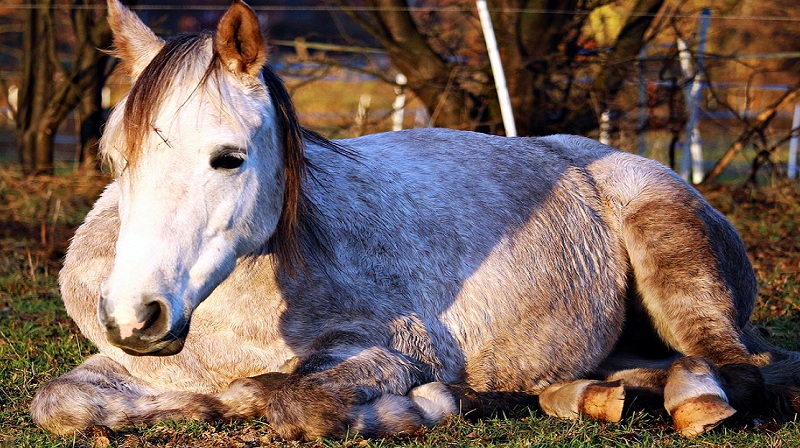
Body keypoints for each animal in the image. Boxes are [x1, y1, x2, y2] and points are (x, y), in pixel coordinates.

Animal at [29, 0, 800, 440]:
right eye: (114, 158)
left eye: (228, 158)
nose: (137, 315)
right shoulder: (128, 368)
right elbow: (58, 402)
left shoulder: (399, 351)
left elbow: (294, 399)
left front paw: (420, 407)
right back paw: (587, 395)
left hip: (675, 262)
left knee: (738, 368)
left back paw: (689, 398)